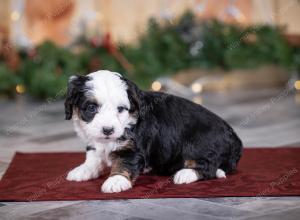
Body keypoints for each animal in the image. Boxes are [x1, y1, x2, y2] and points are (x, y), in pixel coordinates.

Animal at [64, 70, 243, 192]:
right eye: (91, 108)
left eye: (120, 109)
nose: (108, 130)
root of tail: (235, 139)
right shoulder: (94, 141)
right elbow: (93, 157)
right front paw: (84, 170)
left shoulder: (133, 147)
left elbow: (124, 162)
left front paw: (116, 180)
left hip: (198, 143)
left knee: (209, 166)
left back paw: (185, 174)